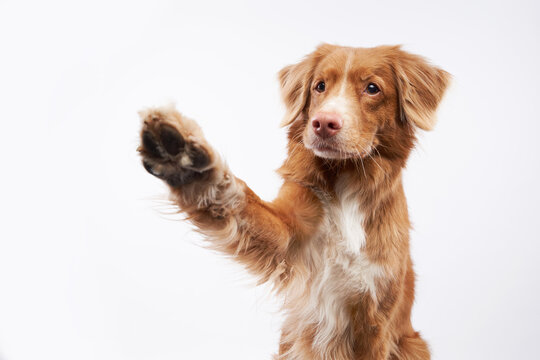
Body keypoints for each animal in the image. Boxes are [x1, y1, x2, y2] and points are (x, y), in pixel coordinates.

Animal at [138, 45, 448, 360]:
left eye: (372, 88)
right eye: (319, 86)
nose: (323, 123)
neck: (347, 183)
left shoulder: (374, 318)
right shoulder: (290, 236)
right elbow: (241, 202)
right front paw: (184, 161)